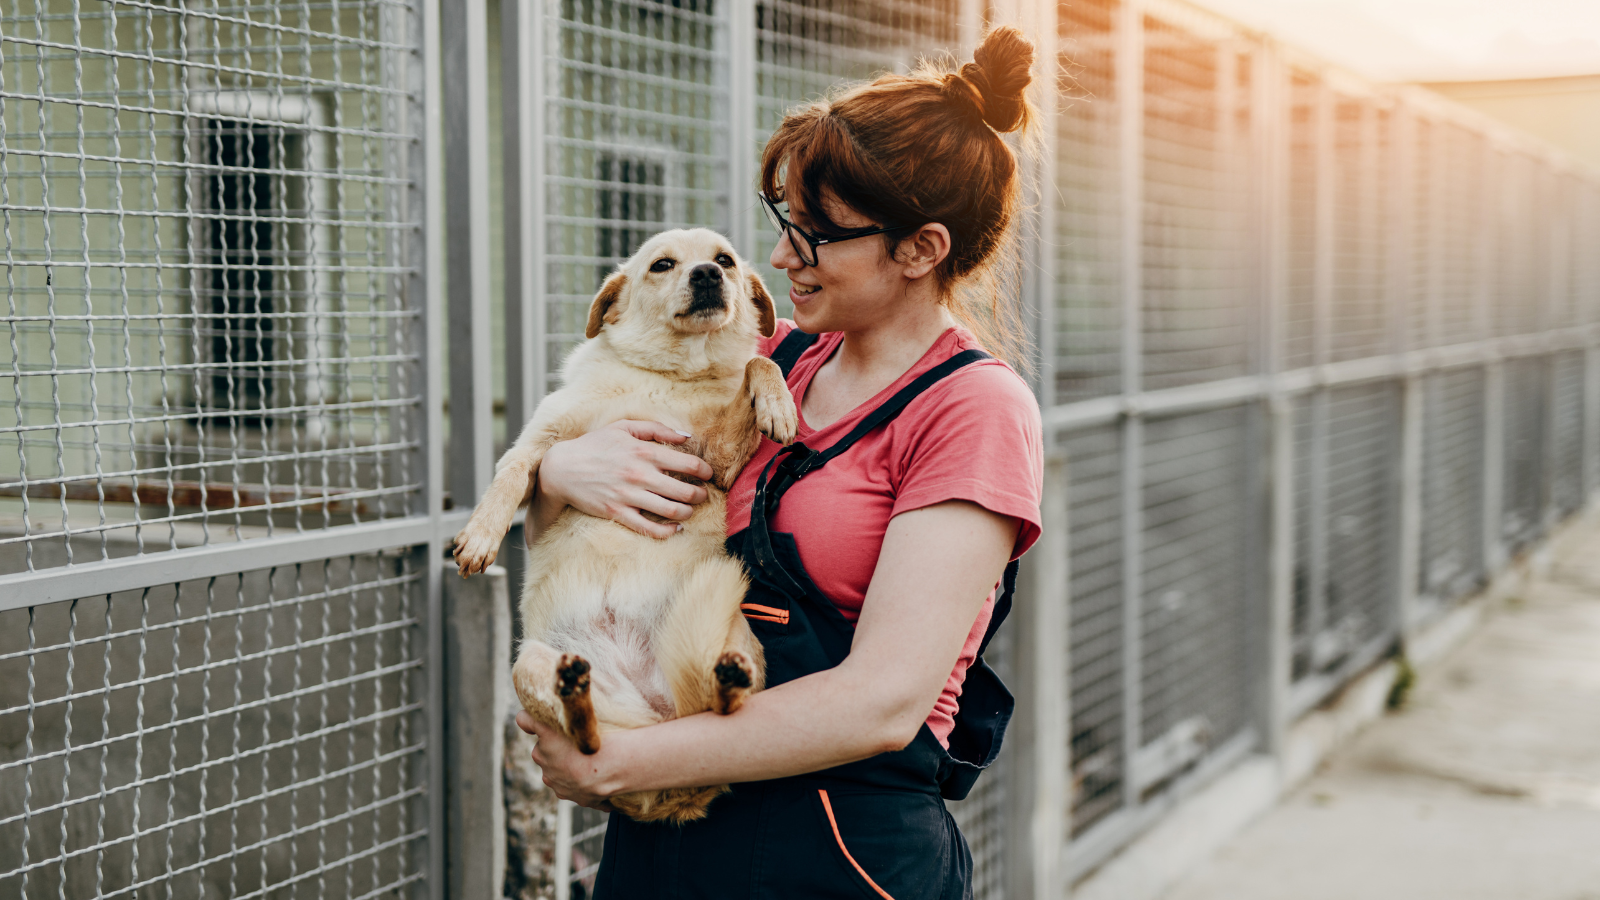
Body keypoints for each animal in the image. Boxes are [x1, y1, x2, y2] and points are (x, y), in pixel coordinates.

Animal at [448, 225, 796, 819]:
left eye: (725, 260)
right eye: (662, 265)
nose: (708, 274)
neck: (667, 377)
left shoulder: (718, 459)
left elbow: (757, 366)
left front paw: (780, 404)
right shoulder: (544, 439)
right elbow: (511, 473)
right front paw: (481, 536)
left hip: (737, 638)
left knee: (719, 712)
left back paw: (724, 683)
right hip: (527, 665)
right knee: (589, 742)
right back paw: (577, 697)